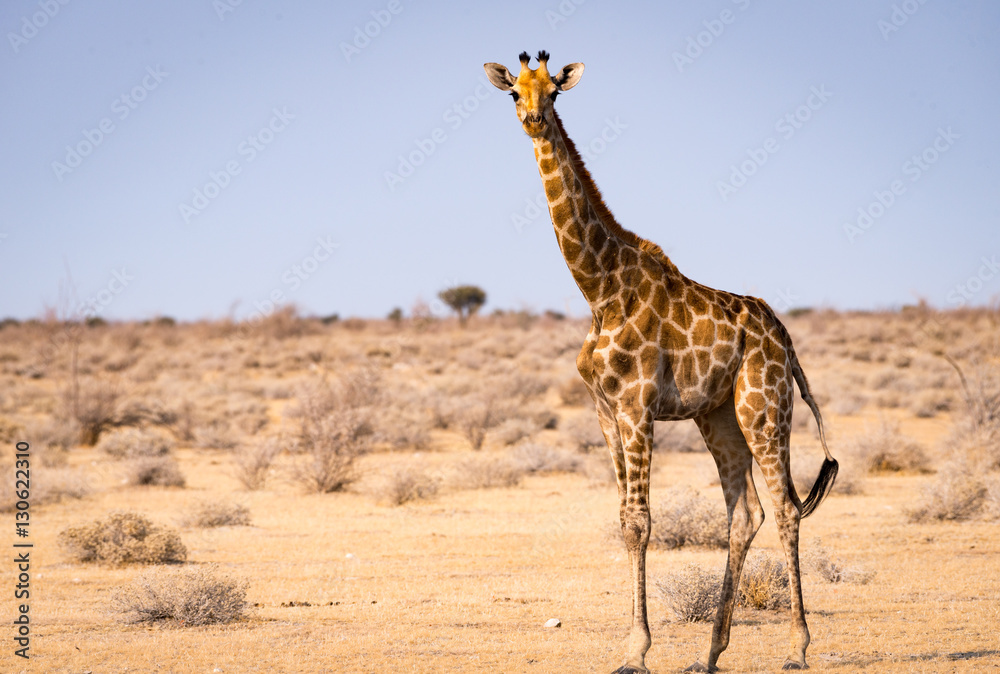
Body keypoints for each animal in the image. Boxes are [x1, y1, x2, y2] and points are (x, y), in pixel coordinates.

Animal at [484, 51, 839, 673]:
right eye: (513, 93)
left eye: (554, 92)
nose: (532, 119)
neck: (599, 289)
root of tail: (786, 340)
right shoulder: (605, 413)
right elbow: (625, 522)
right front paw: (636, 646)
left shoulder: (637, 407)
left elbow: (640, 524)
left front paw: (636, 651)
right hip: (718, 417)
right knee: (746, 514)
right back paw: (711, 652)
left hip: (764, 408)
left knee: (786, 509)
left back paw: (798, 647)